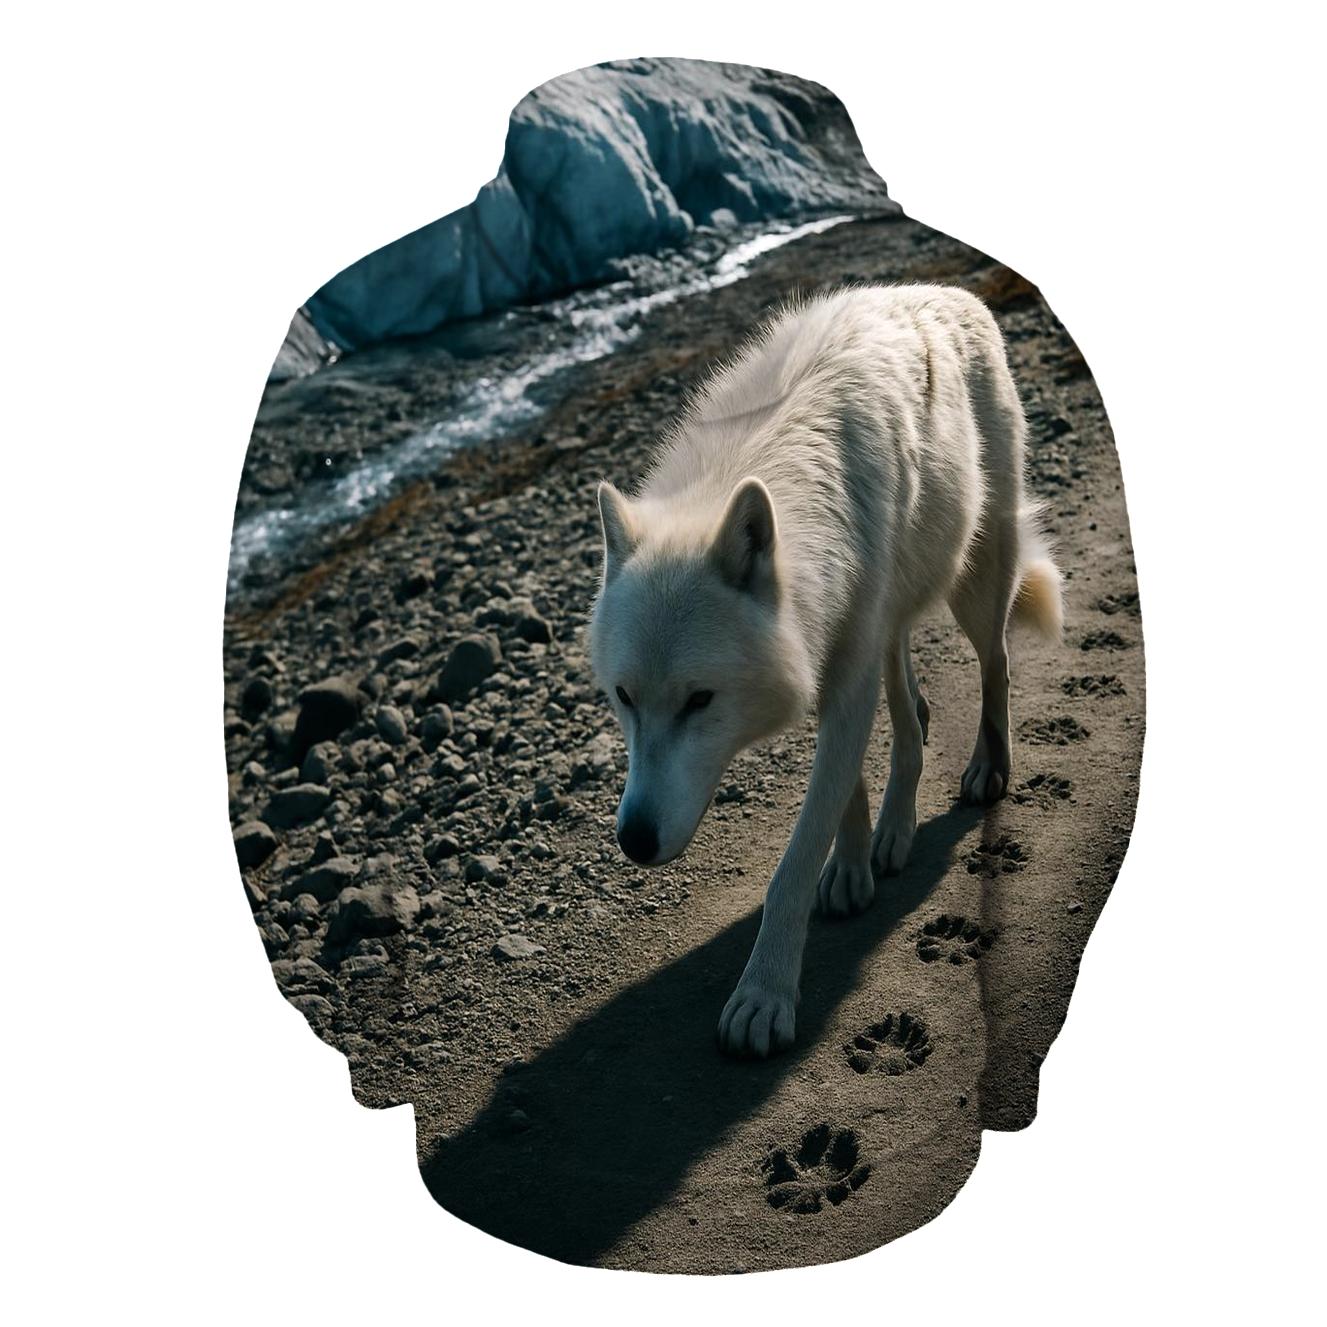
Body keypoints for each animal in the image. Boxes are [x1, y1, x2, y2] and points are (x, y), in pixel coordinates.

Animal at [587, 284, 1062, 1058]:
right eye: (624, 698)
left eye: (698, 701)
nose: (633, 839)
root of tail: (954, 292)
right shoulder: (831, 661)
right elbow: (847, 786)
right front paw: (852, 863)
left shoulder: (845, 677)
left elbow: (793, 862)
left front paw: (764, 995)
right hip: (896, 614)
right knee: (912, 713)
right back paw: (895, 830)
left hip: (975, 581)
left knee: (995, 667)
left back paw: (987, 768)